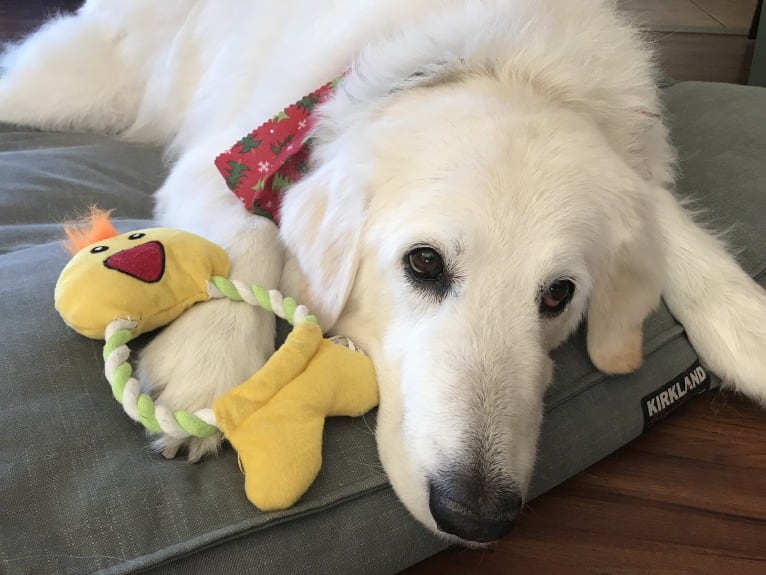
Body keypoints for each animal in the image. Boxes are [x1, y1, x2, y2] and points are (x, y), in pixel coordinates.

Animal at [3, 0, 764, 544]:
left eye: (559, 295)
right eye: (423, 262)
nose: (478, 517)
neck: (501, 63)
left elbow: (669, 224)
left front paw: (745, 324)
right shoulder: (228, 156)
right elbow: (249, 232)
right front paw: (209, 368)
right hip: (83, 89)